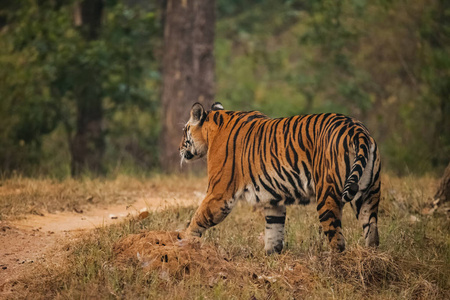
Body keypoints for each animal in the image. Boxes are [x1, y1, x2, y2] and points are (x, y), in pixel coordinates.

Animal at [178, 102, 380, 253]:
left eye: (184, 130)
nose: (179, 148)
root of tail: (357, 129)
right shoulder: (273, 199)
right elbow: (274, 231)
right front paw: (271, 256)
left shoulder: (219, 194)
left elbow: (198, 218)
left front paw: (183, 239)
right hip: (368, 194)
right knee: (372, 232)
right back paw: (371, 262)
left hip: (327, 194)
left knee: (337, 240)